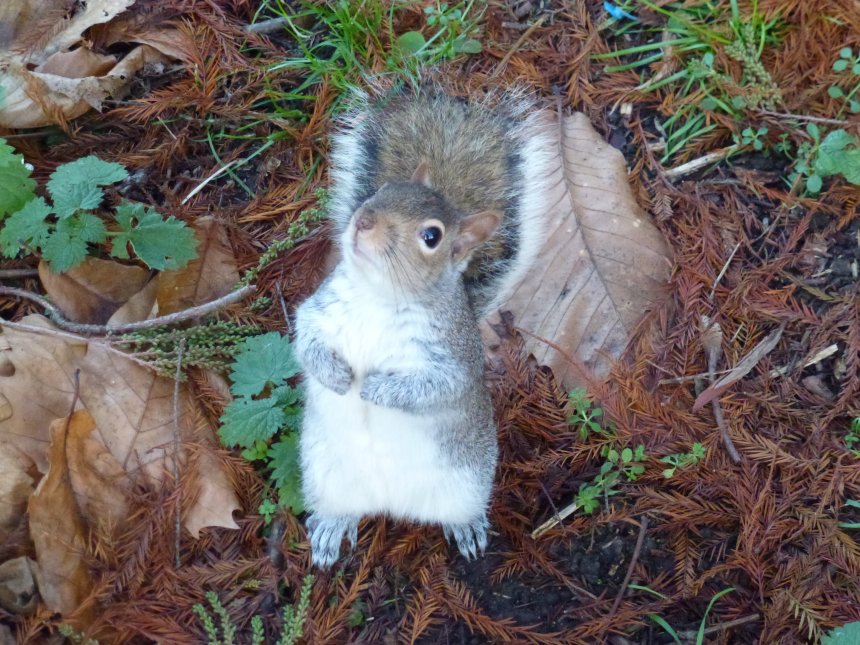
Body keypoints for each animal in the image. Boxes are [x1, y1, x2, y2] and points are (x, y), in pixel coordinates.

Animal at [295, 87, 554, 568]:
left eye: (431, 237)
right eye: (384, 190)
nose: (364, 220)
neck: (380, 297)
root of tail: (391, 505)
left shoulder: (452, 353)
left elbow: (437, 386)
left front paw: (376, 388)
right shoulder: (321, 310)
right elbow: (305, 341)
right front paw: (335, 375)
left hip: (466, 483)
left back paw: (466, 528)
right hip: (325, 477)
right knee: (340, 509)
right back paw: (331, 528)